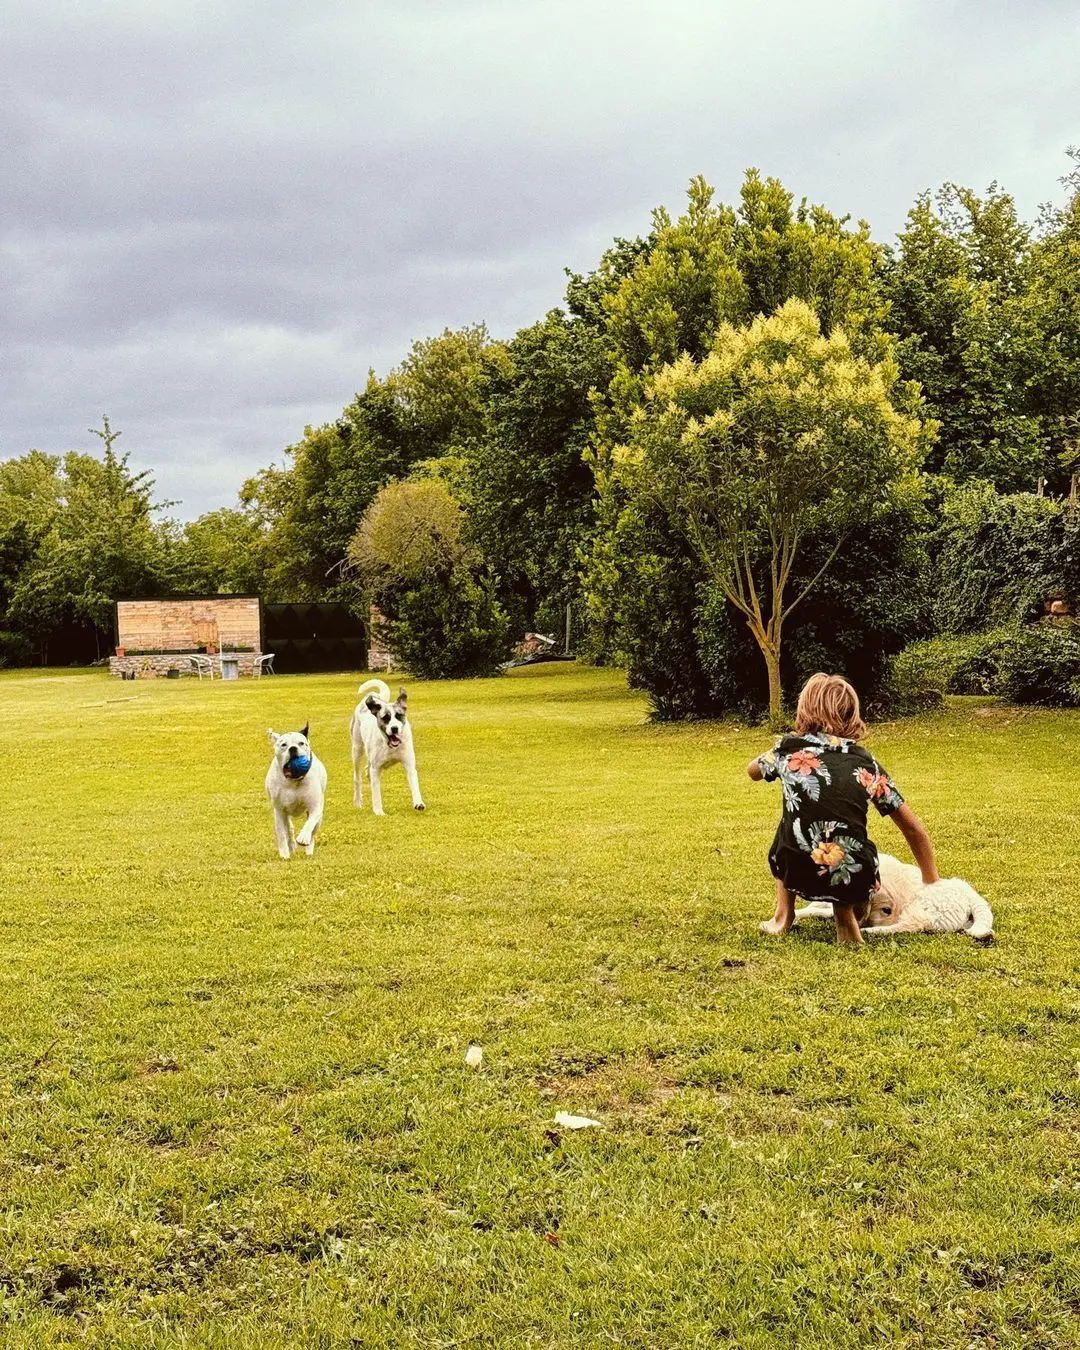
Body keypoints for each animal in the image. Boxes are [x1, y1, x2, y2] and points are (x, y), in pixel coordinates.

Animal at [264, 723, 326, 858]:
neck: (294, 781)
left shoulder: (315, 807)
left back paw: (308, 850)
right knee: (289, 829)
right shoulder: (279, 810)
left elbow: (310, 823)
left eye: (301, 743)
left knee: (313, 832)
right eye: (283, 745)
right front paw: (284, 855)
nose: (292, 748)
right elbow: (281, 834)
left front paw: (303, 837)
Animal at [351, 675, 423, 810]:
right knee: (357, 777)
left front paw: (418, 803)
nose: (394, 728)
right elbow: (376, 794)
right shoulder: (375, 767)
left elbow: (414, 783)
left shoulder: (409, 763)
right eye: (385, 718)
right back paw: (357, 801)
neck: (390, 746)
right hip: (357, 749)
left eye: (399, 715)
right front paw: (379, 811)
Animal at [793, 853, 993, 939]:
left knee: (912, 925)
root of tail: (970, 895)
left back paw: (870, 931)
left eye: (886, 910)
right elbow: (813, 908)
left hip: (919, 908)